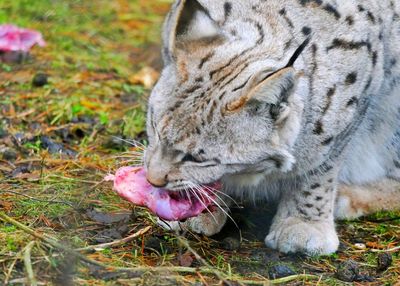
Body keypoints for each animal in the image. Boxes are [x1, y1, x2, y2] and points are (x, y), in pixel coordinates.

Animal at [142, 0, 400, 255]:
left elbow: (320, 166)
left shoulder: (357, 102)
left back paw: (349, 196)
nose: (152, 181)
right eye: (154, 128)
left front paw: (304, 223)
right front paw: (197, 207)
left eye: (196, 158)